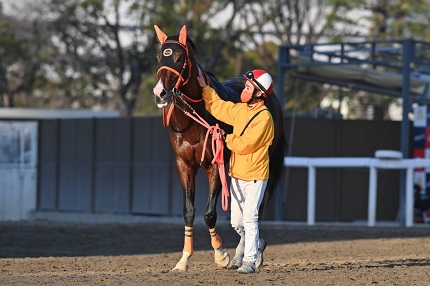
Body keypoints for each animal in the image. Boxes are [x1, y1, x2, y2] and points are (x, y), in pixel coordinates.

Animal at [151, 24, 286, 272]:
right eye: (158, 57)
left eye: (178, 57)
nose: (160, 93)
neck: (194, 119)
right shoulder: (184, 165)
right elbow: (189, 212)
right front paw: (184, 259)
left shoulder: (214, 165)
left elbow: (209, 214)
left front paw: (220, 254)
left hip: (269, 167)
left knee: (257, 210)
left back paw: (251, 254)